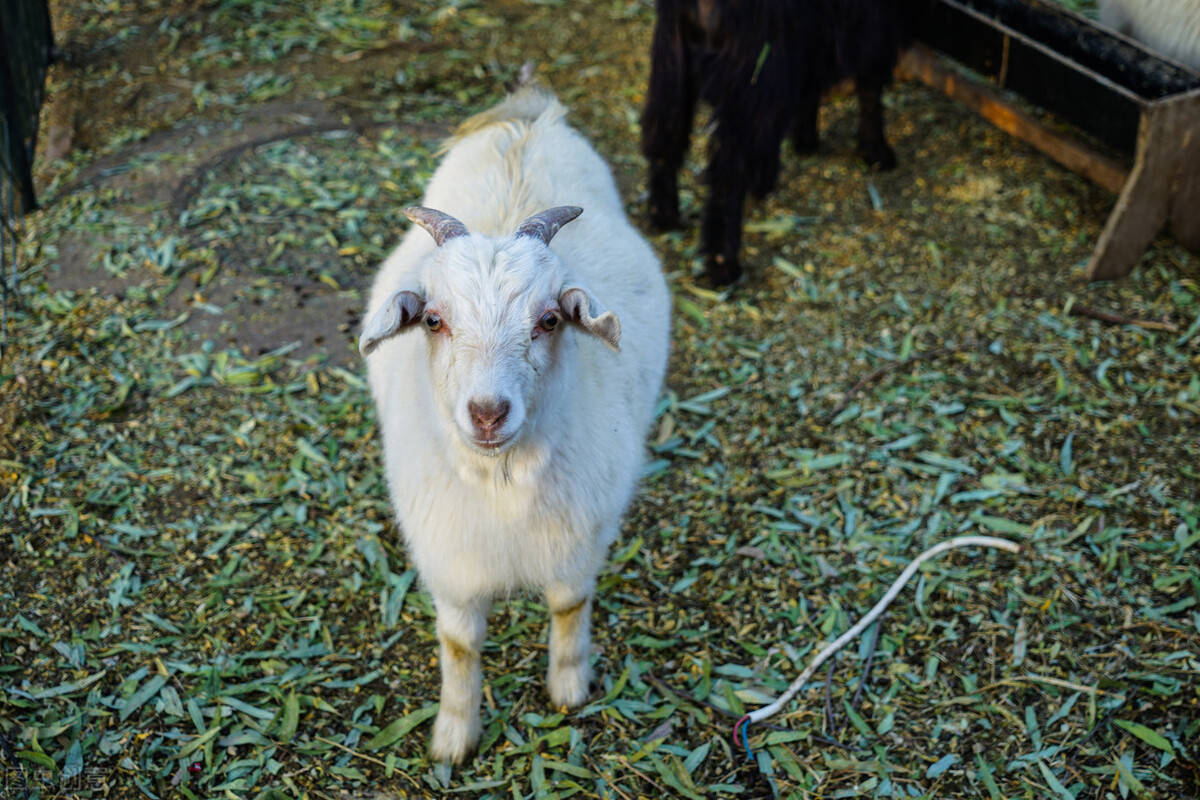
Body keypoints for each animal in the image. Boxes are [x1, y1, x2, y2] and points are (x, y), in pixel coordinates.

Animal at [355, 86, 676, 762]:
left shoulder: (579, 542)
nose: (487, 412)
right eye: (433, 320)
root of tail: (525, 117)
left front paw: (569, 689)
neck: (501, 483)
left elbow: (569, 607)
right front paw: (454, 736)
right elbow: (459, 646)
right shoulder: (450, 565)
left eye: (550, 319)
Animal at [643, 0, 902, 284]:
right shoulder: (873, 21)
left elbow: (811, 77)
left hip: (672, 57)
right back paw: (723, 263)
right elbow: (871, 79)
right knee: (728, 168)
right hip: (749, 68)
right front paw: (876, 151)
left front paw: (804, 141)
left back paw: (663, 215)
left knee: (664, 136)